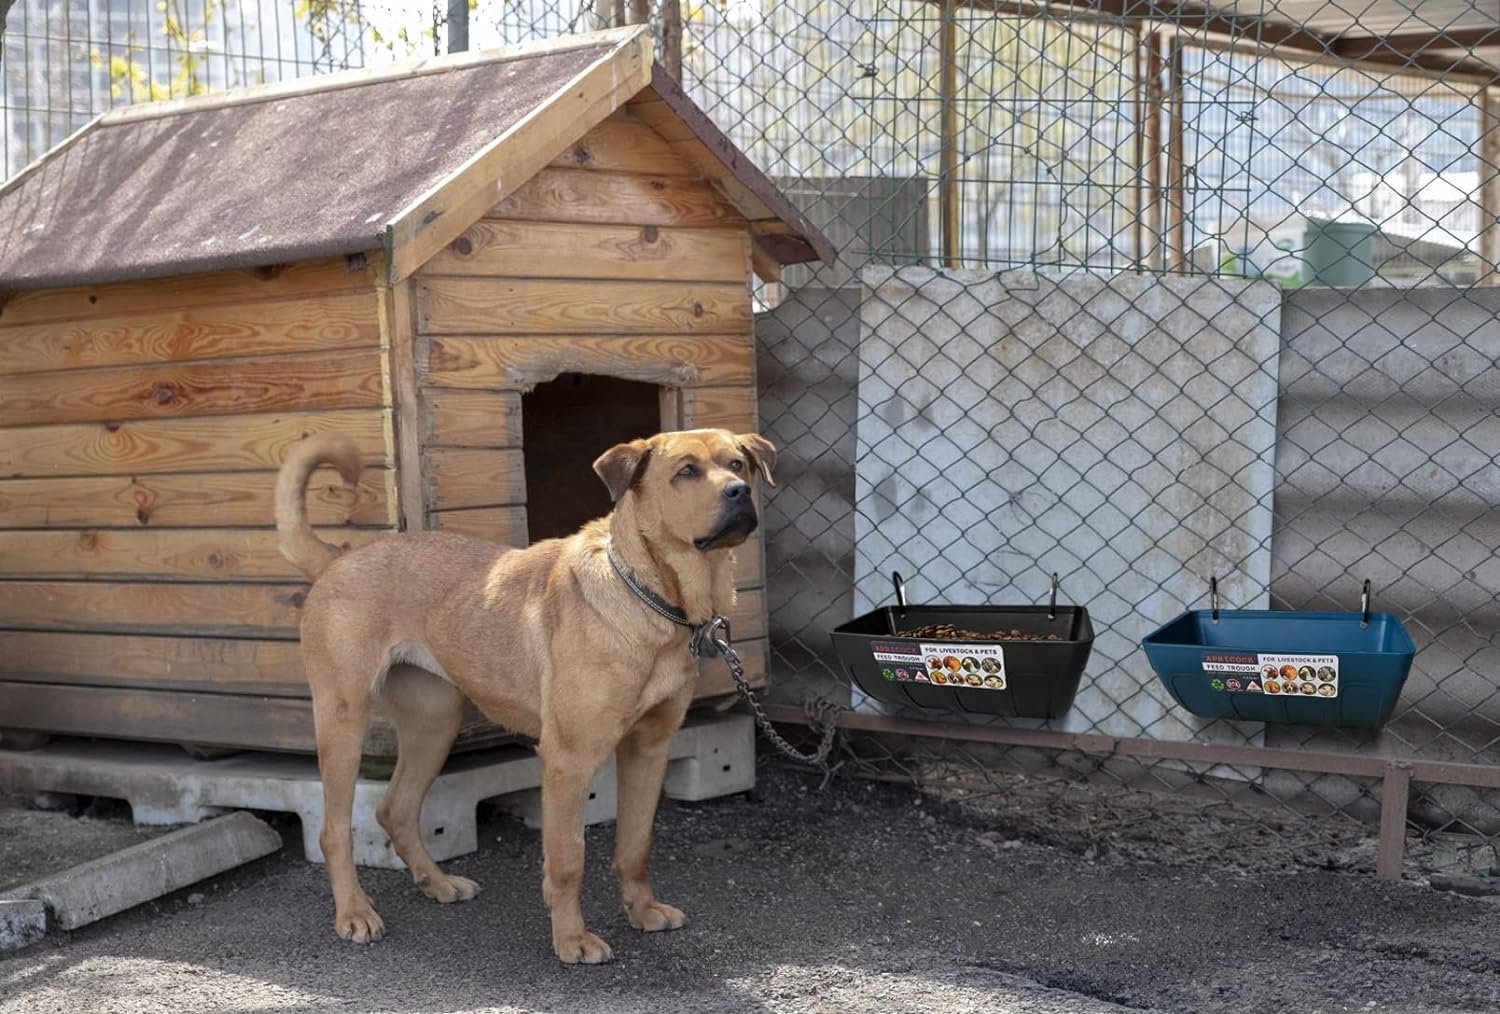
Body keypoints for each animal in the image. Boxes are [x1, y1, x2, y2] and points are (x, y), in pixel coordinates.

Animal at [274, 426, 780, 960]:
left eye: (738, 464)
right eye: (686, 471)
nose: (738, 492)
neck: (653, 596)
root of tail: (340, 558)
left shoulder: (649, 749)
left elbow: (635, 846)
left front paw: (642, 912)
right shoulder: (567, 760)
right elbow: (568, 858)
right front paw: (571, 938)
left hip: (436, 725)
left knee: (396, 810)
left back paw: (438, 882)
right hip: (343, 723)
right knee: (334, 831)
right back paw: (354, 912)